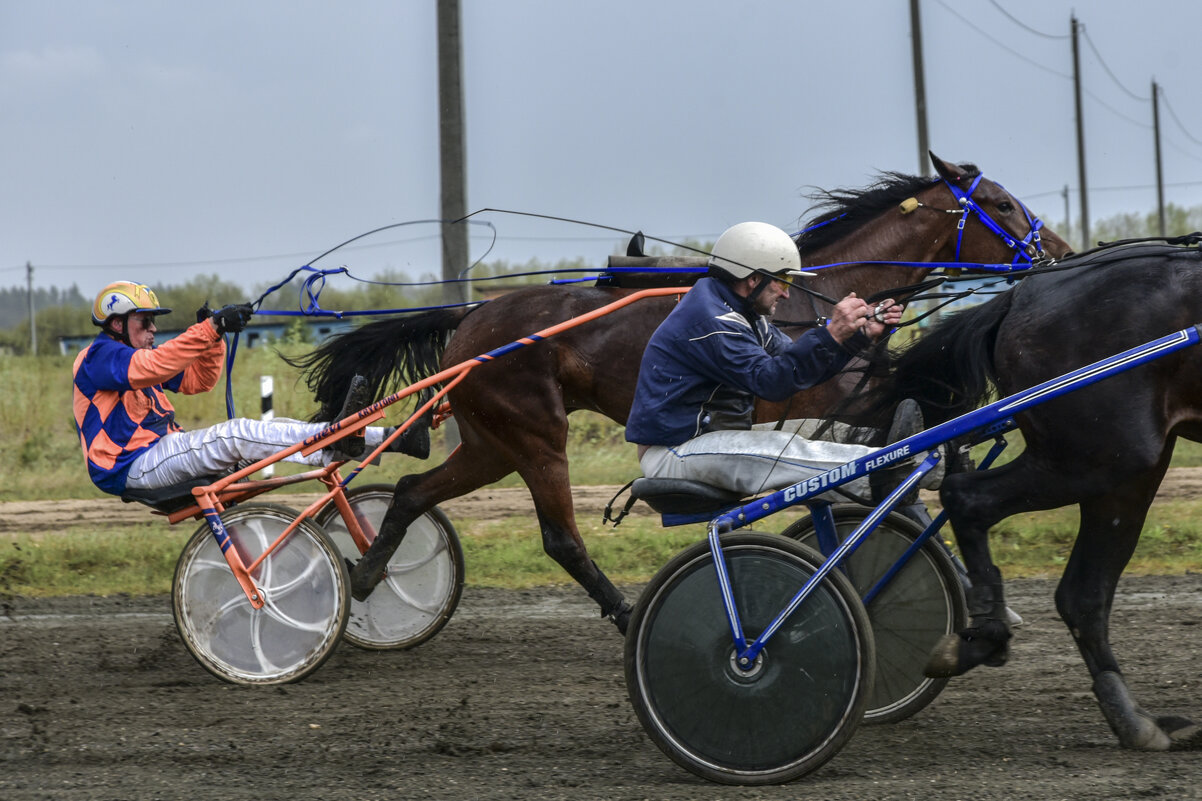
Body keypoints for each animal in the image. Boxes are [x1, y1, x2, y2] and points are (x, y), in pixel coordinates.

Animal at [860, 235, 1202, 750]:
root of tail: (1022, 295)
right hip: (1107, 453)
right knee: (966, 498)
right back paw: (987, 635)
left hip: (1121, 466)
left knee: (1082, 595)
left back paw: (1132, 717)